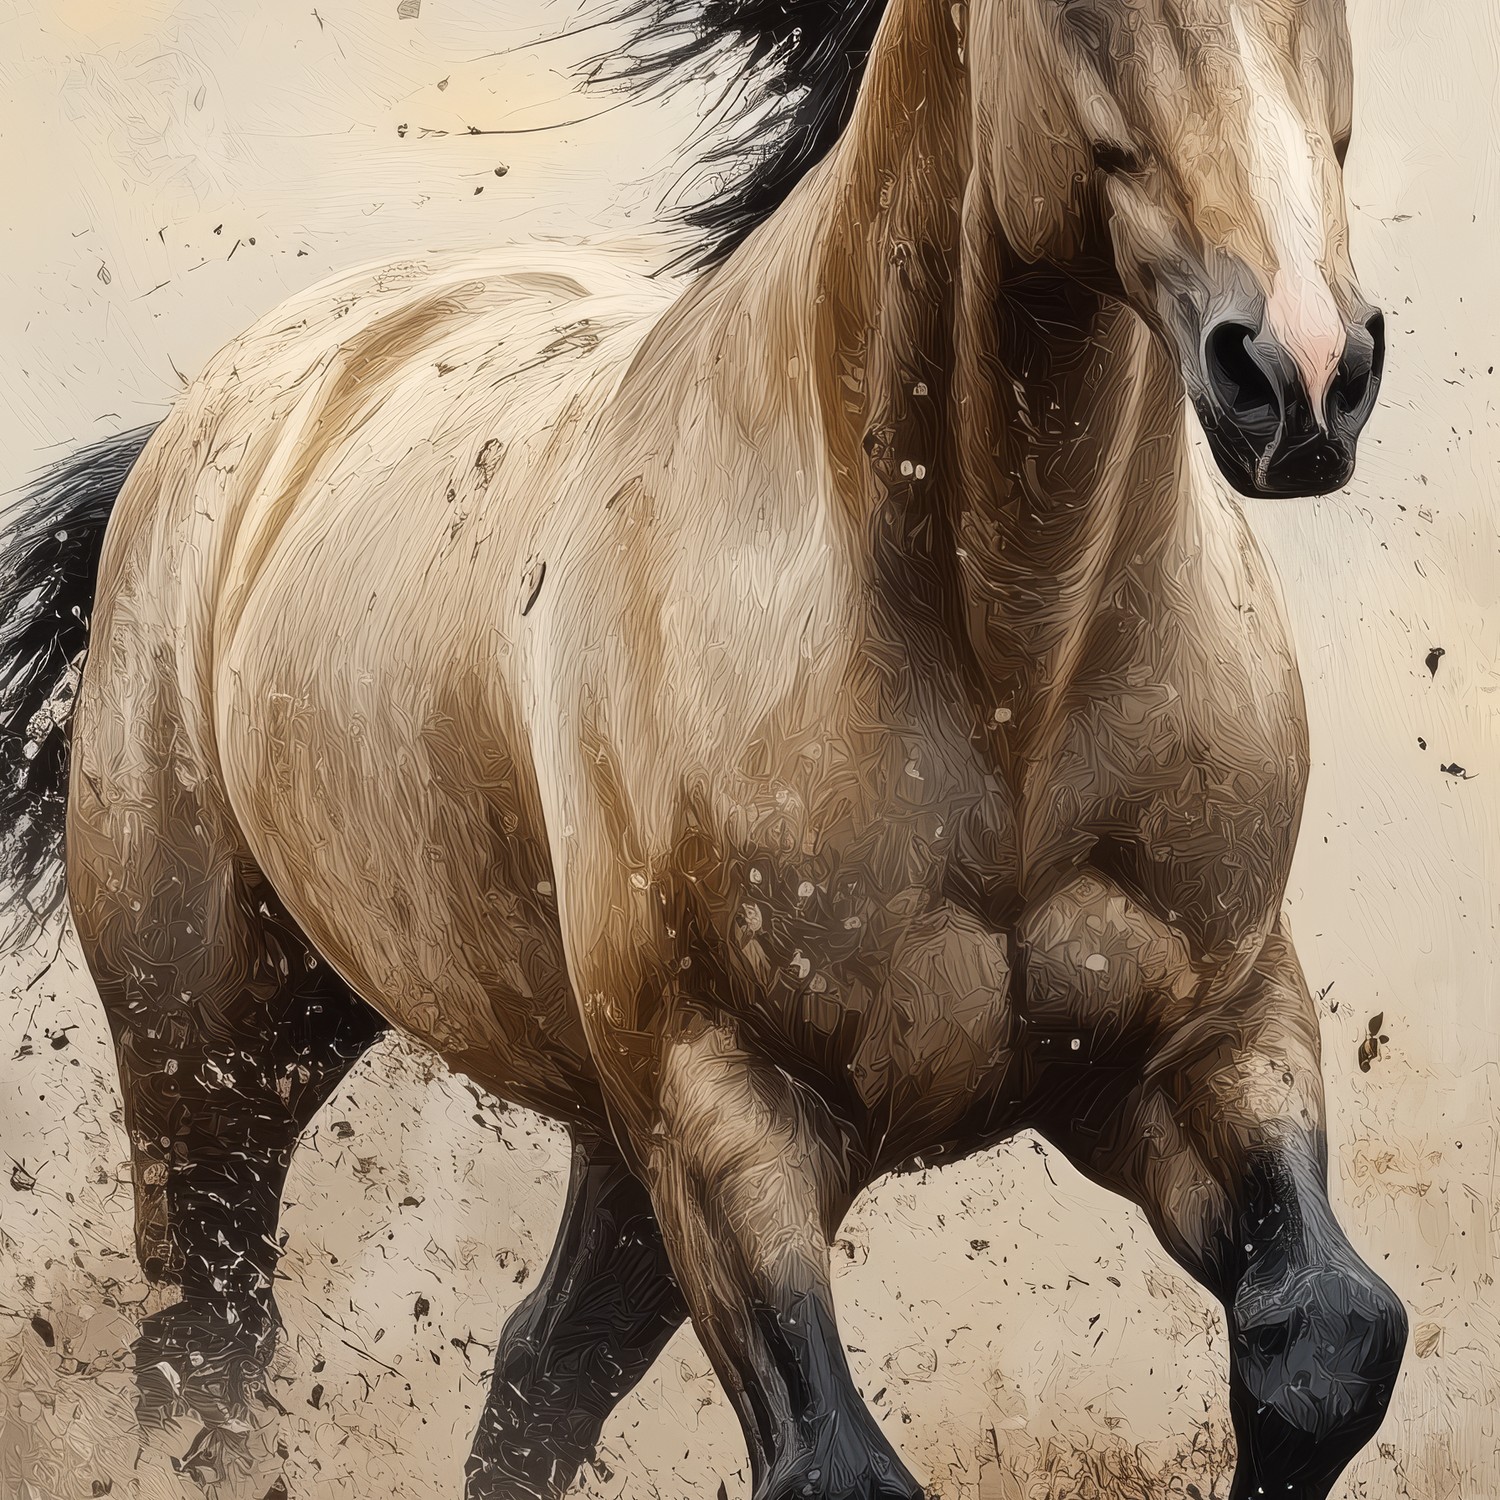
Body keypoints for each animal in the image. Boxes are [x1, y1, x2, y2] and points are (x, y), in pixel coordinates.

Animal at [0, 0, 1406, 1494]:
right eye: (1071, 13)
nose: (1304, 375)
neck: (1006, 680)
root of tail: (212, 419)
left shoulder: (1210, 1034)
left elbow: (1329, 1337)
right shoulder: (728, 1101)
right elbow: (836, 1463)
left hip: (605, 1151)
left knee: (535, 1376)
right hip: (215, 1062)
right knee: (208, 1358)